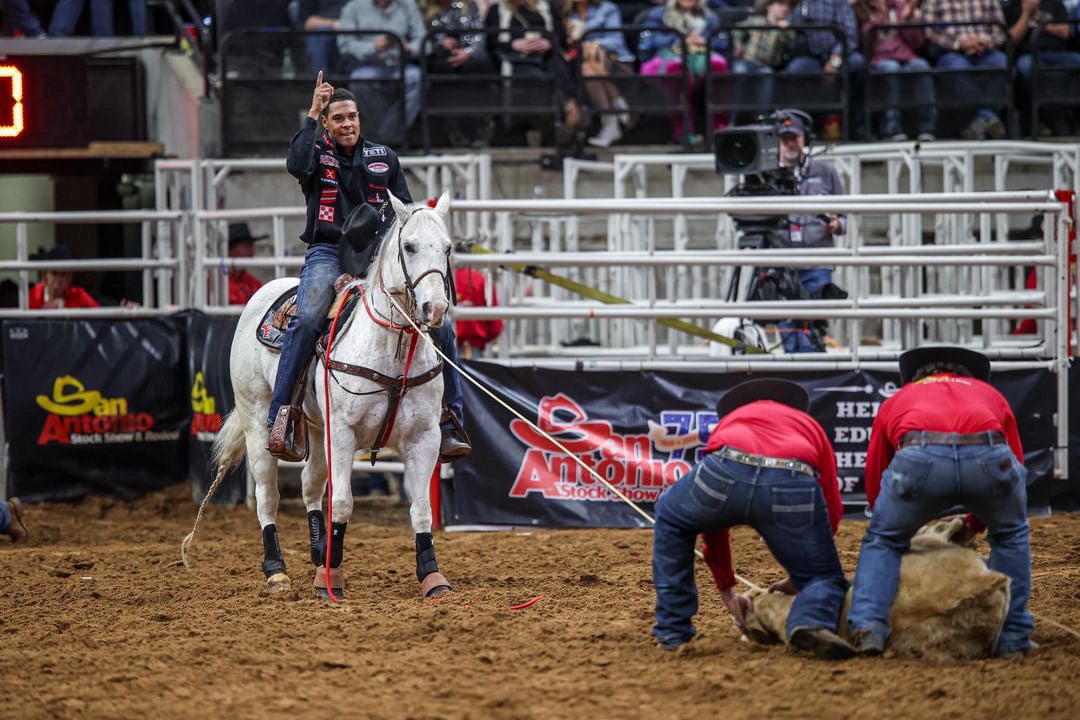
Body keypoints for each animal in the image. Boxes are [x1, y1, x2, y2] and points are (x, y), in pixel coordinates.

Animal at [183, 193, 453, 604]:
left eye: (448, 248)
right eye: (409, 246)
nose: (435, 309)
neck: (389, 349)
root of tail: (265, 291)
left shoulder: (424, 438)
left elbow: (420, 509)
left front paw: (431, 576)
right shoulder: (343, 434)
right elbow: (341, 503)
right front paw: (331, 580)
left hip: (315, 427)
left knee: (310, 484)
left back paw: (317, 551)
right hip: (258, 423)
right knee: (268, 496)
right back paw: (277, 571)